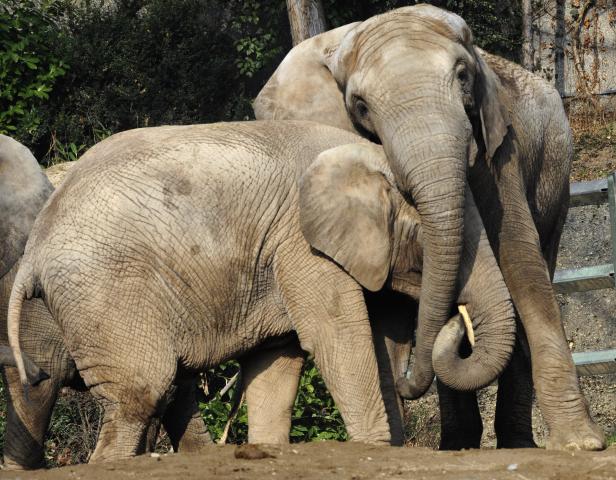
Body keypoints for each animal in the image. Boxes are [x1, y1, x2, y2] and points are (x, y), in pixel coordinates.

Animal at [8, 122, 516, 464]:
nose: (457, 321)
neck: (364, 154)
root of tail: (36, 248)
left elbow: (277, 365)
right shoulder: (300, 243)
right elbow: (335, 338)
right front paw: (373, 449)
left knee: (164, 390)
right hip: (105, 293)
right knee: (141, 393)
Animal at [253, 3, 604, 452]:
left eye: (463, 76)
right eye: (360, 106)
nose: (404, 383)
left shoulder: (499, 149)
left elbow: (518, 259)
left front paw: (581, 444)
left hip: (556, 177)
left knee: (541, 255)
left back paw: (514, 444)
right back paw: (458, 444)